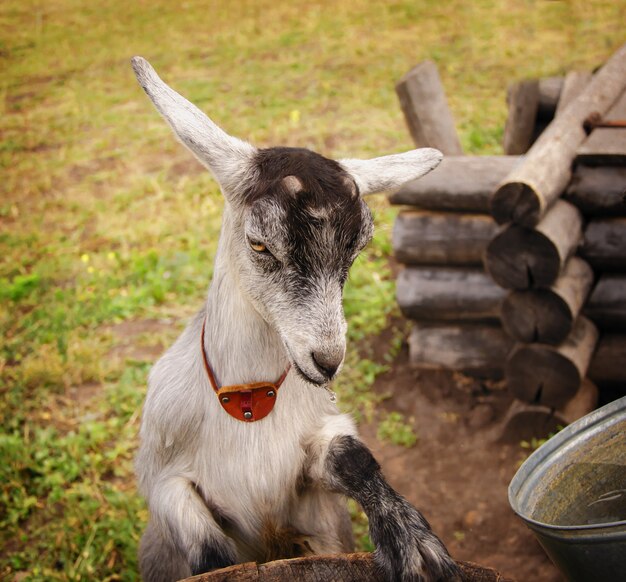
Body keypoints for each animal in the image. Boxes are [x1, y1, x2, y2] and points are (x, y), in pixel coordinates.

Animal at [132, 56, 458, 582]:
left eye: (359, 248)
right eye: (259, 243)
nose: (327, 360)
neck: (248, 405)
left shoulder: (311, 467)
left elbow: (352, 456)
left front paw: (408, 538)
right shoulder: (161, 483)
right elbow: (209, 551)